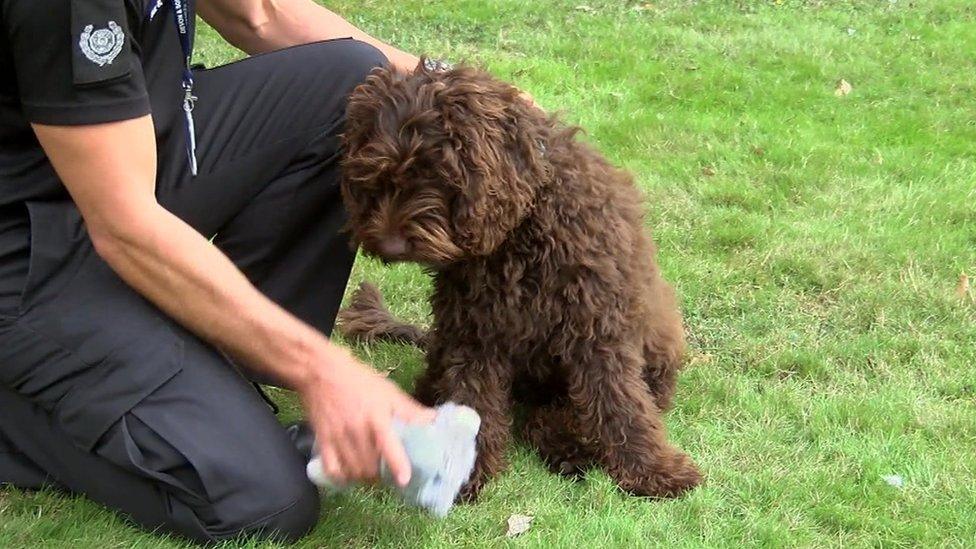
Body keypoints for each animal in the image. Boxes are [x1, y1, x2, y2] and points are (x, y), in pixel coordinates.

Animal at [338, 62, 700, 498]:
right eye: (374, 176)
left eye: (433, 173)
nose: (389, 245)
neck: (521, 231)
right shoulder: (474, 333)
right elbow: (473, 399)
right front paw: (465, 470)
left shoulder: (598, 327)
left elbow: (619, 401)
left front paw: (654, 470)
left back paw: (567, 443)